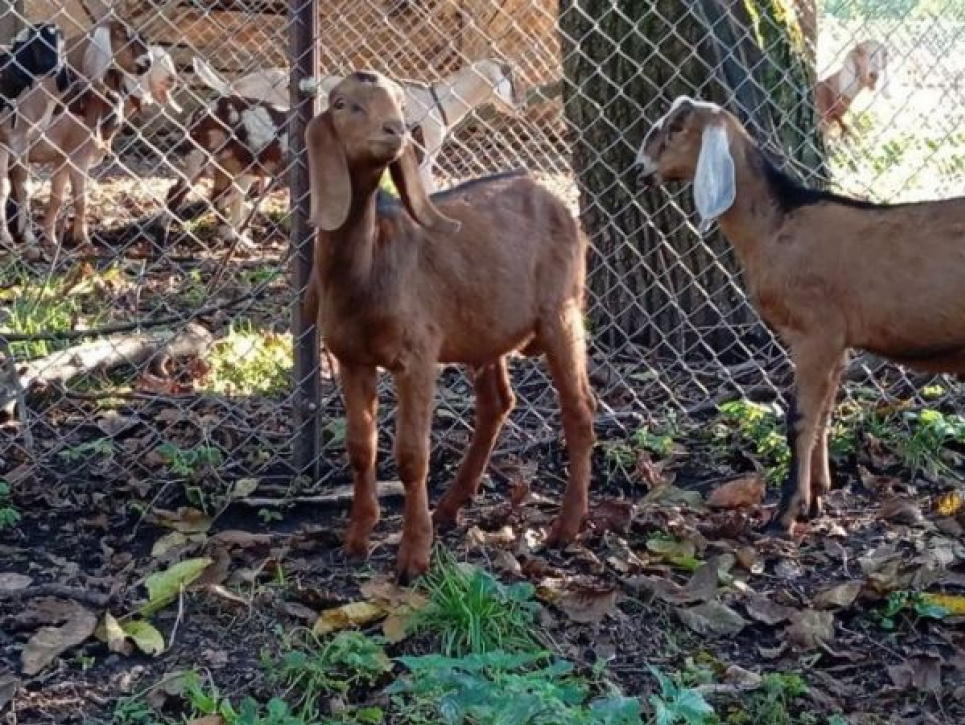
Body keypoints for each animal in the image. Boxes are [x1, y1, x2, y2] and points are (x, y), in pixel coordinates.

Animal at [304, 72, 596, 584]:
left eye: (400, 103)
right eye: (341, 104)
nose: (396, 131)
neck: (367, 266)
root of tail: (549, 196)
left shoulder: (417, 358)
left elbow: (411, 455)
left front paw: (412, 558)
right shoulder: (351, 358)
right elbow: (361, 447)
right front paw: (356, 539)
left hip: (562, 312)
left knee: (578, 409)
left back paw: (565, 527)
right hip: (486, 328)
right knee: (497, 402)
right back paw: (449, 506)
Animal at [636, 96, 965, 536]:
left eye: (675, 129)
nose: (640, 169)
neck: (778, 223)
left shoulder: (814, 334)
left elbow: (800, 420)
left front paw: (785, 514)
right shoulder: (838, 344)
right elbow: (825, 413)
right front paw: (817, 497)